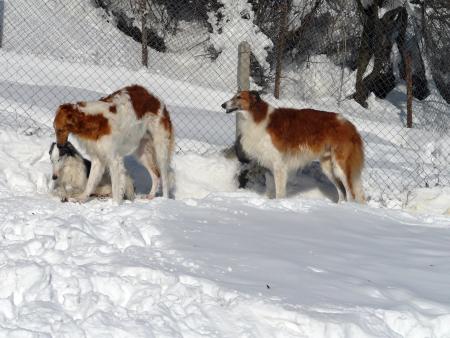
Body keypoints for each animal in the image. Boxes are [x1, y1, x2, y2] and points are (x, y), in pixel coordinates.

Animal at [221, 90, 366, 203]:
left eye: (239, 97)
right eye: (234, 96)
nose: (223, 105)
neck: (257, 117)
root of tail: (351, 126)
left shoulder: (279, 164)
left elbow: (279, 193)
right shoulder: (269, 164)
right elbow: (270, 187)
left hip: (340, 166)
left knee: (350, 193)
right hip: (328, 167)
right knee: (342, 191)